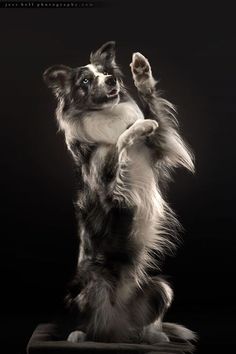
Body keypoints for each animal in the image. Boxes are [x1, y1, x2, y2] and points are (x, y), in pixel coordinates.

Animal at [43, 40, 196, 344]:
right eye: (85, 80)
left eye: (106, 72)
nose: (111, 80)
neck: (105, 115)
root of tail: (114, 328)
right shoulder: (111, 188)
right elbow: (121, 141)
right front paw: (139, 125)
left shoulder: (162, 144)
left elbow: (153, 110)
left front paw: (142, 72)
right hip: (91, 284)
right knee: (85, 322)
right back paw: (77, 334)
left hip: (159, 286)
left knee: (140, 325)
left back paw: (153, 336)